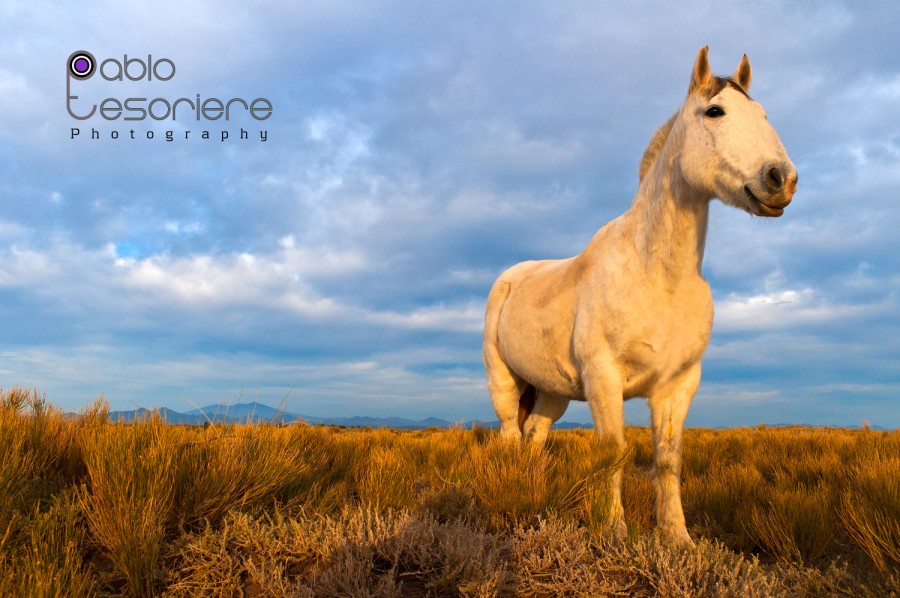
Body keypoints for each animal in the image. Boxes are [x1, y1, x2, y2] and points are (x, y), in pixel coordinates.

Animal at [482, 49, 800, 548]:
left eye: (764, 114)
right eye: (714, 111)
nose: (781, 179)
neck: (657, 275)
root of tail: (510, 278)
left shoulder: (677, 385)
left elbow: (667, 459)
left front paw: (677, 537)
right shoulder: (604, 379)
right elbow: (613, 453)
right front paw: (614, 531)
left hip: (553, 392)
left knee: (534, 435)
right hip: (503, 381)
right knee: (510, 435)